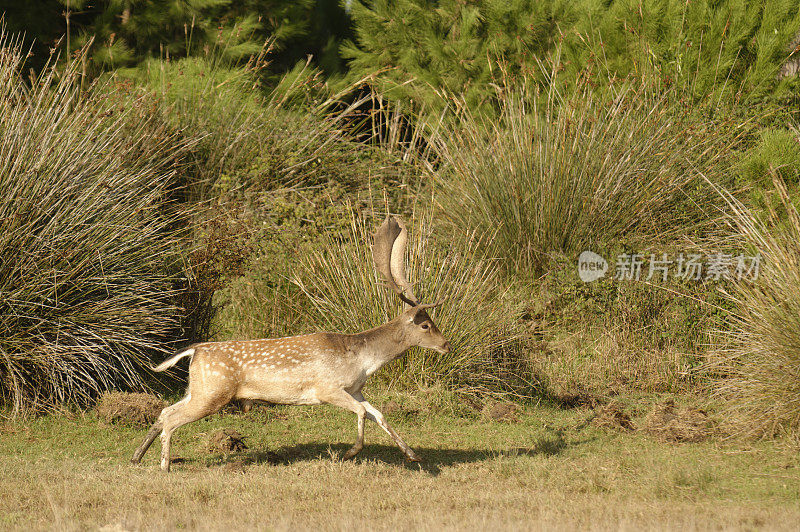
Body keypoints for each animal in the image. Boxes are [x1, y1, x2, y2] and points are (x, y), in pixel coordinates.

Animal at [128, 214, 446, 472]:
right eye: (426, 325)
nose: (446, 345)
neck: (362, 360)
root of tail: (195, 350)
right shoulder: (328, 387)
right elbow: (361, 413)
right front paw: (349, 453)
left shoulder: (355, 389)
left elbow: (378, 414)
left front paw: (413, 454)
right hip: (213, 393)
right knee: (171, 418)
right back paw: (164, 465)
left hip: (199, 388)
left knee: (164, 411)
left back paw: (136, 457)